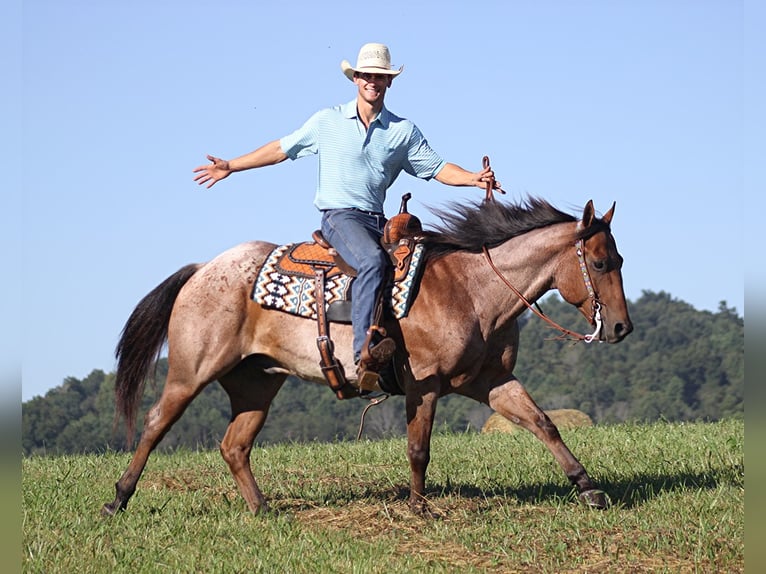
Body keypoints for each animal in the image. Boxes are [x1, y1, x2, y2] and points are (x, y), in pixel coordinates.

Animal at [99, 197, 632, 516]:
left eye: (620, 260)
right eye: (600, 262)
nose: (621, 328)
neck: (472, 290)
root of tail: (202, 269)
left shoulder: (492, 382)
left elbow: (544, 424)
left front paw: (588, 488)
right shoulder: (423, 384)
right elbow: (419, 449)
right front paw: (419, 509)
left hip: (257, 384)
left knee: (235, 445)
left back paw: (263, 510)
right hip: (191, 373)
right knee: (155, 424)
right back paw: (117, 500)